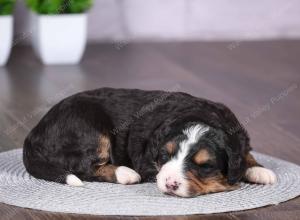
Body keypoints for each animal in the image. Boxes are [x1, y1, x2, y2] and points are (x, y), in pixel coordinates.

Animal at [23, 87, 276, 198]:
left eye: (205, 166)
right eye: (164, 156)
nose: (170, 183)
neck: (202, 116)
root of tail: (34, 132)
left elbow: (246, 153)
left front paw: (259, 170)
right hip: (90, 129)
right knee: (82, 166)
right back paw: (125, 173)